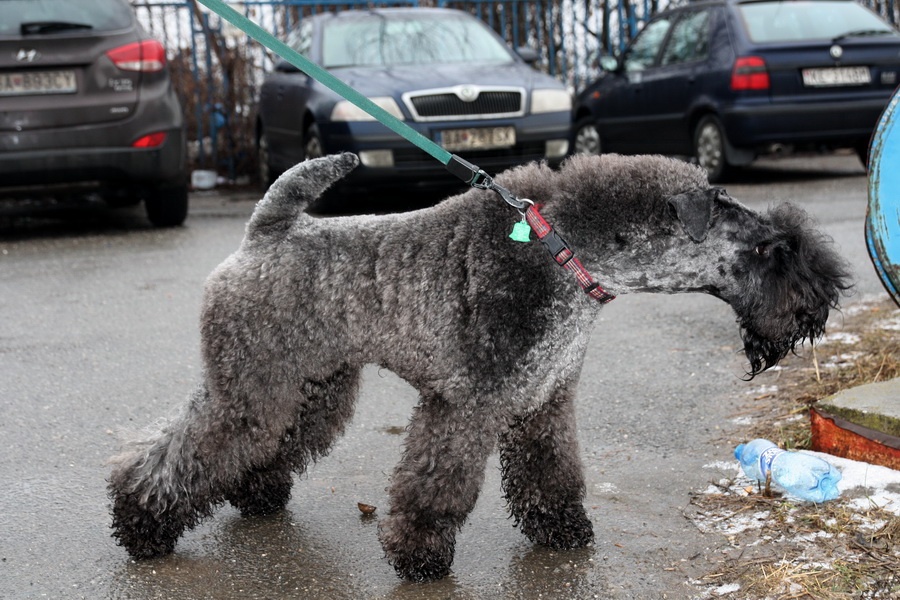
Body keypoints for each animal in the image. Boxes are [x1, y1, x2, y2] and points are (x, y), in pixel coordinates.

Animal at [107, 151, 852, 580]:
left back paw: (255, 495)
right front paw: (420, 557)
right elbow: (437, 485)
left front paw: (562, 531)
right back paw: (142, 524)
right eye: (769, 249)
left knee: (269, 441)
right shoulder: (468, 403)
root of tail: (265, 234)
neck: (561, 253)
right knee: (182, 451)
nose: (823, 297)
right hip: (255, 387)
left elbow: (551, 472)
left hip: (312, 385)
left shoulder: (543, 399)